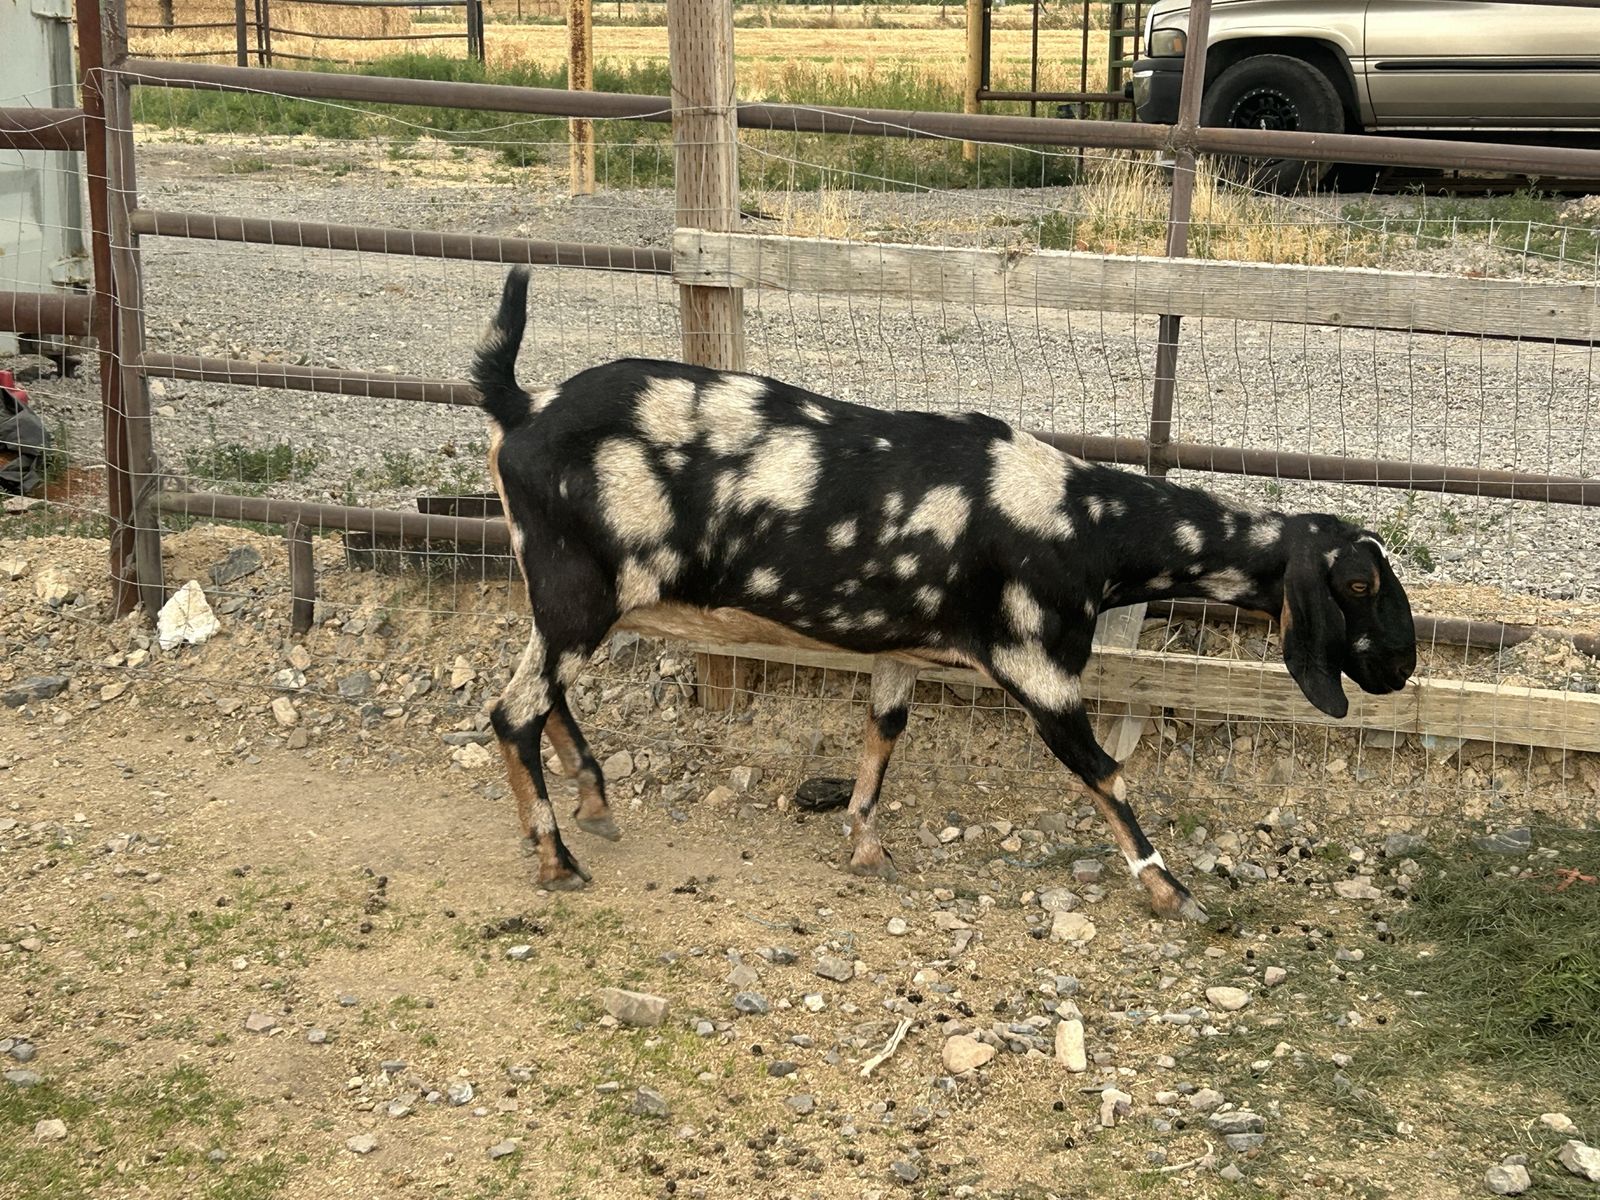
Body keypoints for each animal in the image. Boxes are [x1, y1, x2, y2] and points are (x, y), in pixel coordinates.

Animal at [472, 267, 1417, 920]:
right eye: (1358, 582)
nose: (1403, 669)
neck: (1086, 525)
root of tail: (520, 406)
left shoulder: (903, 645)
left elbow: (883, 733)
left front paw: (864, 844)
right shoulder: (1037, 669)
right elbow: (1104, 772)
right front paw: (1173, 891)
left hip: (567, 593)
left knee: (541, 695)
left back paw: (595, 801)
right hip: (580, 589)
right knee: (512, 711)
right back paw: (557, 859)